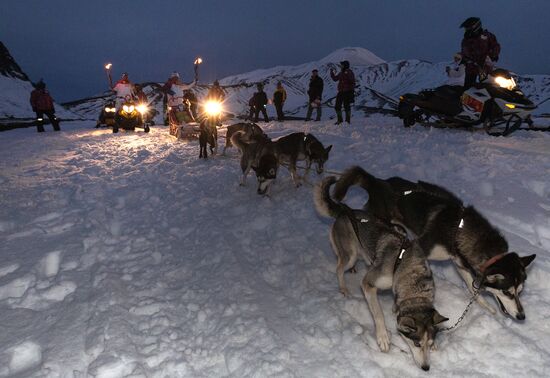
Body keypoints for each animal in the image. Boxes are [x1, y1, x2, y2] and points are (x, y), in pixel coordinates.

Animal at [314, 176, 448, 370]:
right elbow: (378, 314)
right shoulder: (368, 284)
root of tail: (345, 211)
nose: (426, 368)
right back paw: (344, 289)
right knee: (339, 268)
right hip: (350, 255)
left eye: (429, 344)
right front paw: (383, 338)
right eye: (416, 343)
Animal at [334, 165, 536, 318]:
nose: (521, 316)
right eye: (508, 292)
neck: (458, 228)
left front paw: (485, 306)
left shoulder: (459, 262)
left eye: (520, 291)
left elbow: (472, 288)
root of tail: (377, 181)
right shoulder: (420, 248)